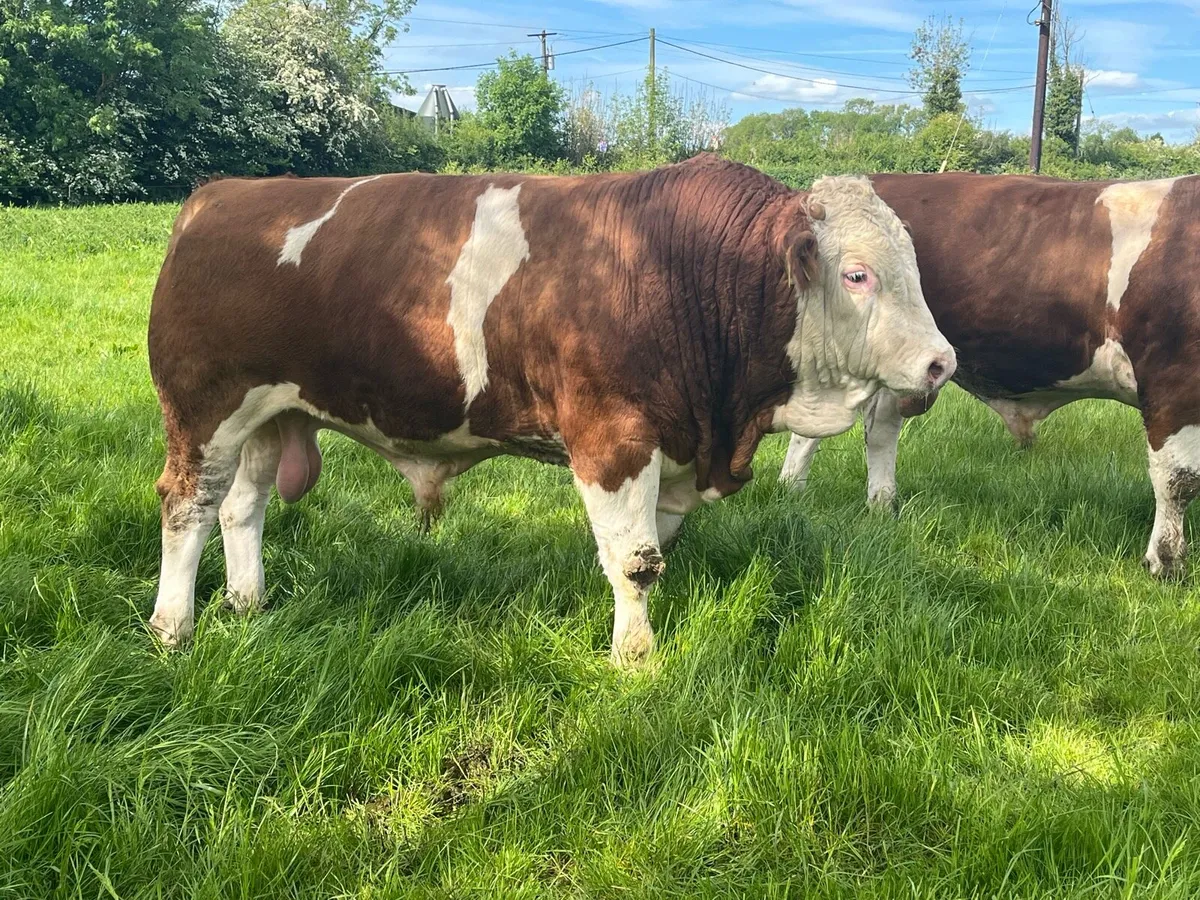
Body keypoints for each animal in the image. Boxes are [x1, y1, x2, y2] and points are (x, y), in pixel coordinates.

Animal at [146, 156, 955, 666]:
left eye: (915, 266)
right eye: (858, 275)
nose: (941, 362)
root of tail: (215, 197)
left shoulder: (676, 449)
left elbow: (656, 548)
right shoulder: (612, 439)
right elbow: (635, 563)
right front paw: (635, 658)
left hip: (270, 417)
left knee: (240, 507)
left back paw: (246, 602)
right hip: (203, 411)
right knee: (187, 507)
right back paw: (173, 626)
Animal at [781, 172, 1200, 578]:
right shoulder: (1174, 384)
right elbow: (1177, 480)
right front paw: (1166, 563)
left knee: (880, 429)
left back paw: (882, 505)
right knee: (812, 429)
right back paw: (791, 492)